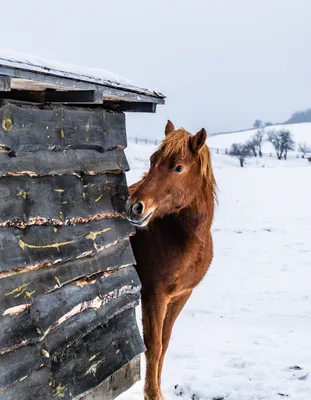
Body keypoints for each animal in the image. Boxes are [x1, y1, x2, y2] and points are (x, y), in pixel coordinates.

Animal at [126, 121, 217, 400]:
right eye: (152, 160)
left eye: (178, 167)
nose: (134, 206)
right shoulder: (153, 296)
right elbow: (153, 346)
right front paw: (152, 394)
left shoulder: (180, 296)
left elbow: (164, 344)